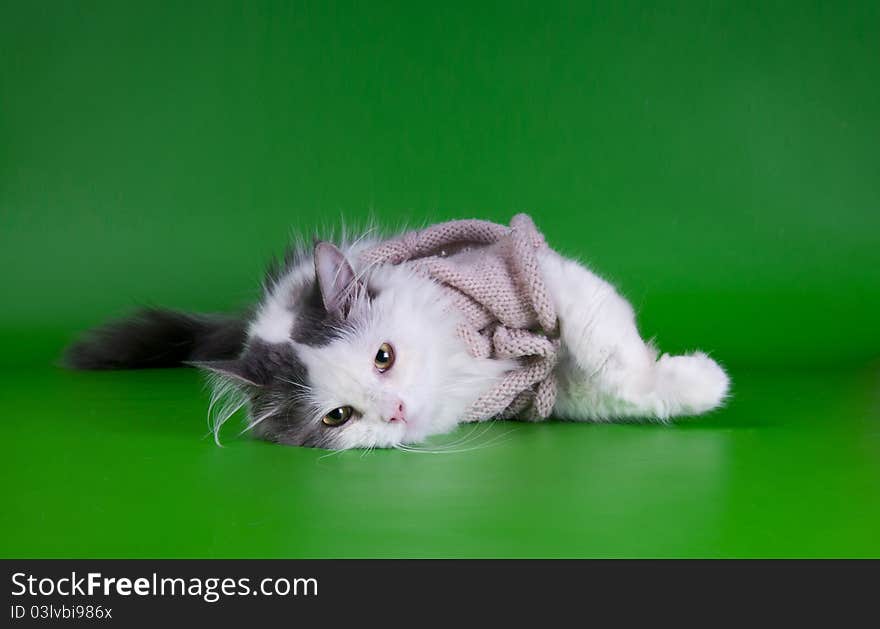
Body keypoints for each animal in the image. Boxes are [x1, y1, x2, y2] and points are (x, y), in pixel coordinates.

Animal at [65, 216, 732, 446]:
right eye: (338, 416)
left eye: (383, 357)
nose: (397, 410)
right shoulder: (548, 389)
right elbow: (616, 386)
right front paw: (700, 383)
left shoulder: (528, 272)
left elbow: (610, 350)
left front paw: (699, 380)